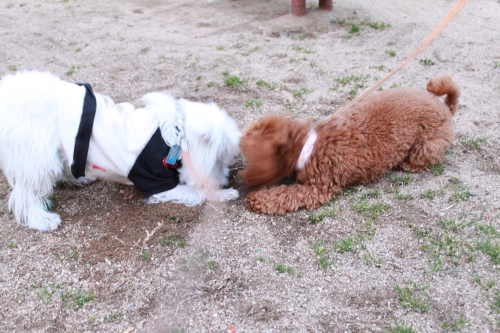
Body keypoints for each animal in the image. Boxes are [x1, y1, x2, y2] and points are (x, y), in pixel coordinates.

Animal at [0, 70, 242, 231]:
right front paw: (224, 193)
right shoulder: (155, 183)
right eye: (219, 160)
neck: (175, 139)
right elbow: (199, 193)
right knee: (25, 195)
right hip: (37, 158)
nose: (225, 180)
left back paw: (79, 178)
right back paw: (41, 219)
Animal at [240, 75, 458, 214]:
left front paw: (258, 199)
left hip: (425, 146)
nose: (242, 180)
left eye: (249, 158)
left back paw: (405, 164)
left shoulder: (318, 188)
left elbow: (285, 195)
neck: (307, 147)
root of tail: (445, 106)